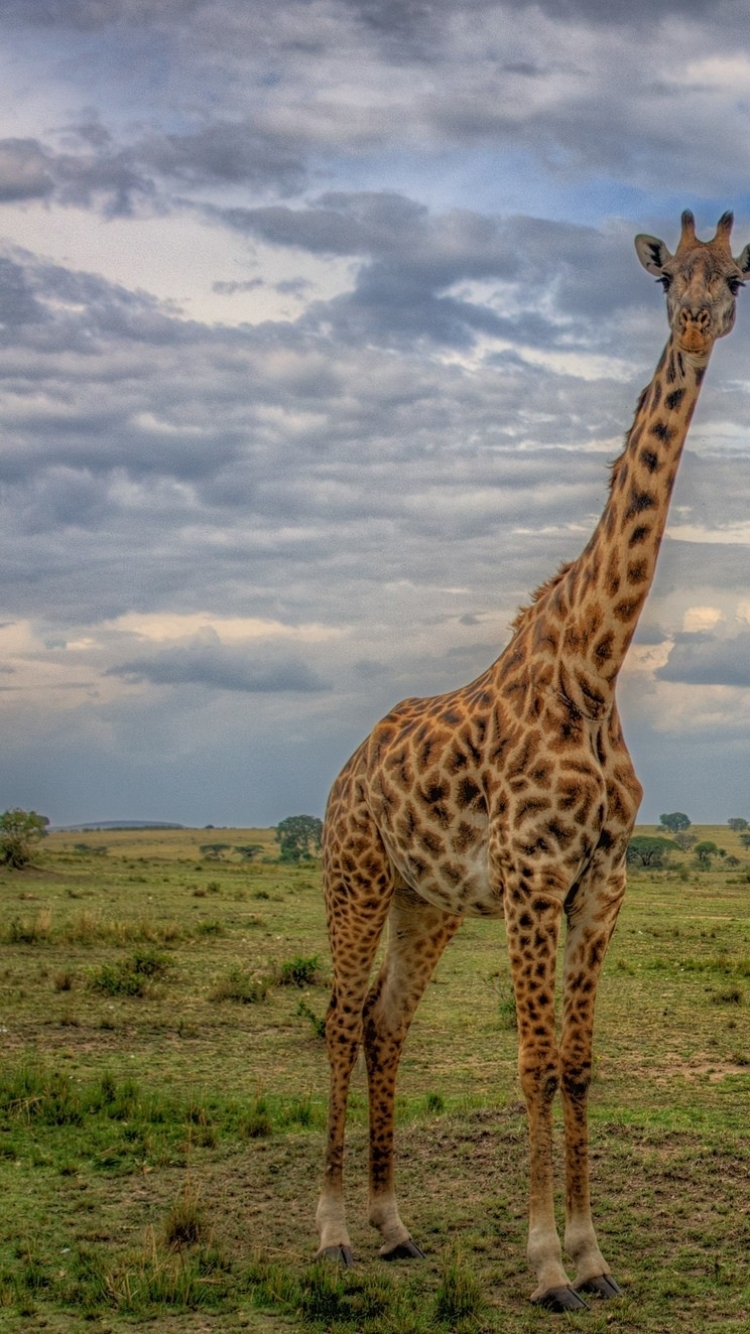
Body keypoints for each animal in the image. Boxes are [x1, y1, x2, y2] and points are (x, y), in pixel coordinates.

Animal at [315, 212, 750, 1311]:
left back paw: (394, 1225)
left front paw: (595, 1257)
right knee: (337, 1017)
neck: (594, 667)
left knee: (383, 1020)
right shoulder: (531, 876)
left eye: (735, 276)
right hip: (356, 876)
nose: (697, 322)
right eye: (666, 279)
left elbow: (581, 1063)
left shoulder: (603, 881)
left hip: (424, 901)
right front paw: (547, 1263)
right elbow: (532, 1062)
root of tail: (345, 770)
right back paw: (332, 1231)